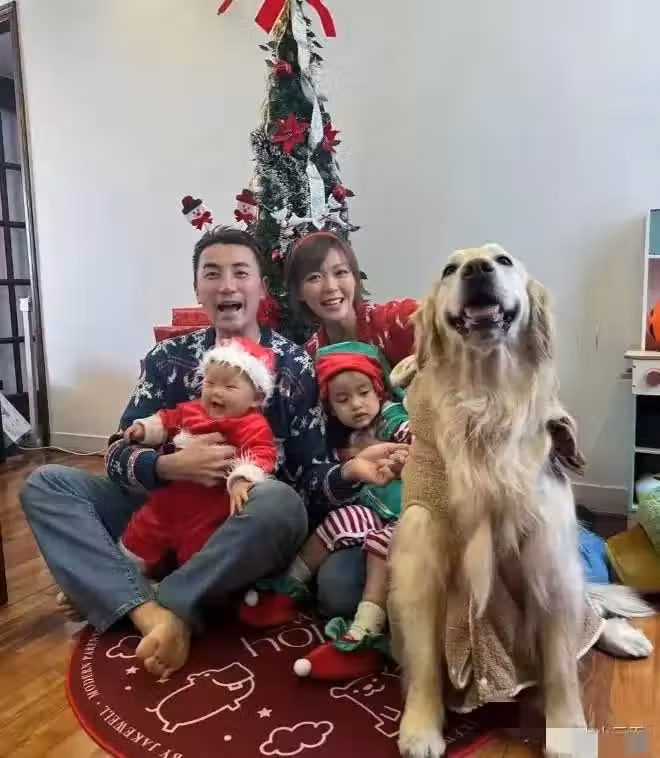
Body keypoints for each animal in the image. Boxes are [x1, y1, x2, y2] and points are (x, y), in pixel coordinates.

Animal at [388, 244, 654, 758]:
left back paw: (622, 636)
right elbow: (425, 661)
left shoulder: (549, 559)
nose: (476, 269)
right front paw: (421, 727)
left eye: (503, 260)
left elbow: (561, 667)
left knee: (591, 615)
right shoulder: (420, 562)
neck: (485, 399)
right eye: (450, 269)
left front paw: (567, 732)